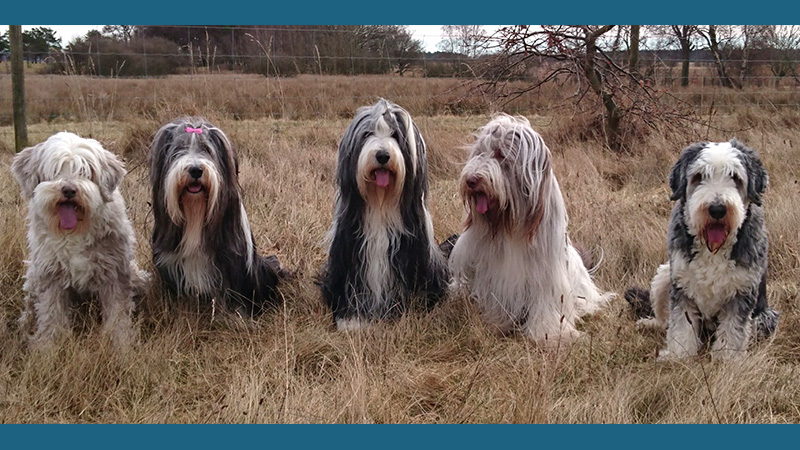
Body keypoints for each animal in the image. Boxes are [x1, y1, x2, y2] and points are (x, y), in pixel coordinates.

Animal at [10, 130, 146, 348]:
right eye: (56, 169)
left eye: (84, 171)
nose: (69, 190)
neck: (75, 232)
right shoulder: (51, 274)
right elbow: (51, 315)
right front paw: (47, 348)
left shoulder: (114, 273)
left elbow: (117, 314)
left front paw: (121, 345)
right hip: (33, 277)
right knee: (31, 309)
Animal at [318, 99, 450, 330]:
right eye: (367, 134)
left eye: (396, 135)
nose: (382, 155)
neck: (380, 205)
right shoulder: (350, 250)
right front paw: (352, 319)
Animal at [450, 114, 612, 346]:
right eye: (479, 152)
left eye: (500, 154)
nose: (471, 180)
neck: (510, 221)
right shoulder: (495, 272)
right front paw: (496, 323)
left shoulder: (546, 274)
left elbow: (546, 305)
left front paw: (551, 335)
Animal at [628, 139, 780, 360]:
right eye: (699, 176)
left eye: (735, 177)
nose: (717, 209)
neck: (714, 249)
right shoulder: (681, 286)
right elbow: (680, 325)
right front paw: (678, 357)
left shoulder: (742, 293)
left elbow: (732, 331)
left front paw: (726, 359)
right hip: (664, 276)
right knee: (664, 320)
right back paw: (649, 324)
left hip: (765, 318)